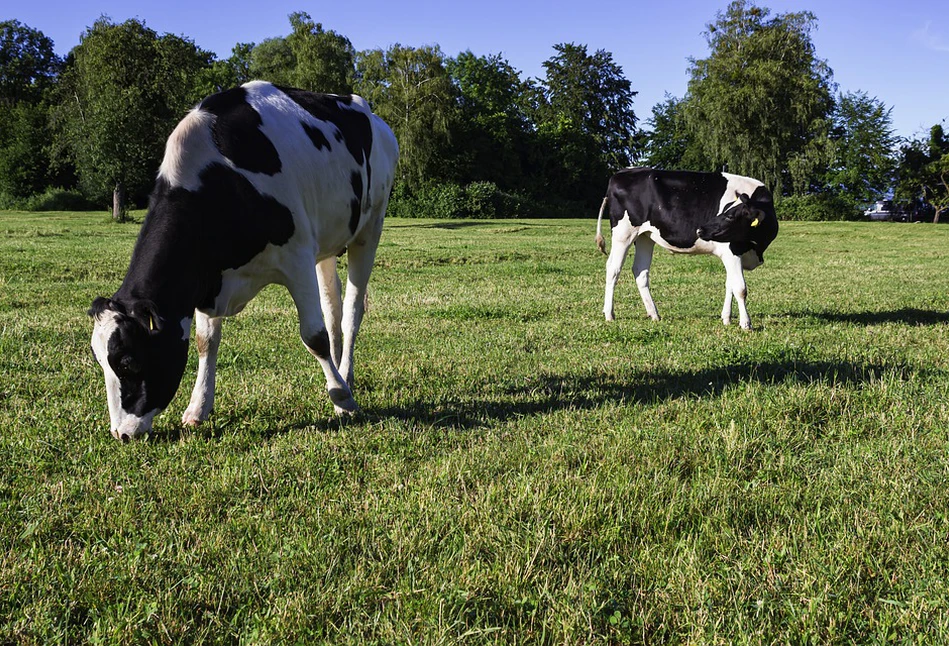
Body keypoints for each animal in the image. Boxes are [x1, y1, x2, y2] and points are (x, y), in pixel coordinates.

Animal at [88, 81, 396, 442]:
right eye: (101, 362)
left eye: (128, 361)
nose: (121, 433)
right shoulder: (207, 277)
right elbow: (206, 342)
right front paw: (197, 409)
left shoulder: (297, 256)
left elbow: (313, 336)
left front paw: (342, 399)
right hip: (327, 243)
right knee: (333, 309)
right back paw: (341, 375)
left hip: (370, 228)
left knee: (350, 313)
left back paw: (344, 378)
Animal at [592, 168, 776, 330]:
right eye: (726, 212)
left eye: (730, 215)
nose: (700, 230)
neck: (756, 249)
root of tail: (622, 173)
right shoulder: (731, 251)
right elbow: (740, 288)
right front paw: (746, 324)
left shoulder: (735, 256)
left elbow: (729, 285)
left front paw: (726, 318)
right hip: (623, 234)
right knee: (613, 269)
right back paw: (609, 314)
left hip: (645, 237)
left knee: (640, 271)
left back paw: (654, 314)